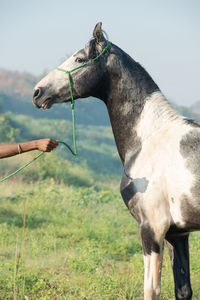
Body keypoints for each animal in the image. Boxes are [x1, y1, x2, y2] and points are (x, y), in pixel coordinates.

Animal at [32, 22, 199, 298]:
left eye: (79, 58)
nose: (37, 92)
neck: (150, 137)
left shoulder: (152, 228)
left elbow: (151, 289)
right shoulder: (178, 234)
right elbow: (183, 289)